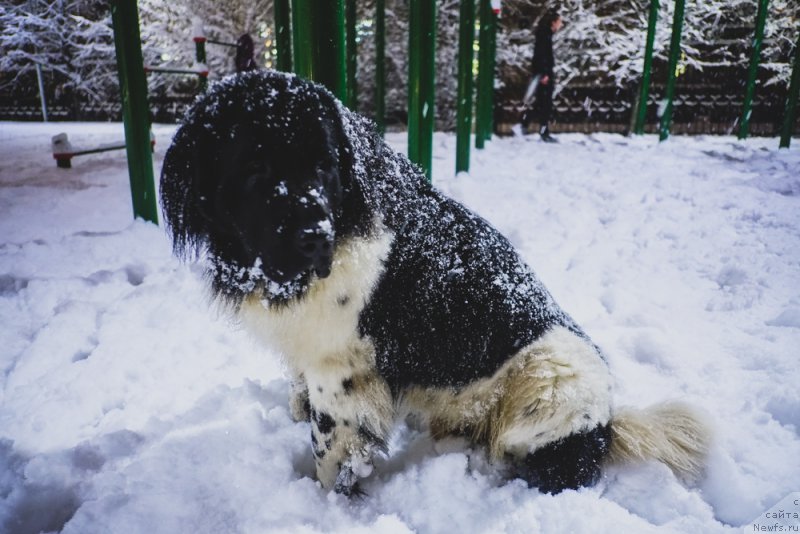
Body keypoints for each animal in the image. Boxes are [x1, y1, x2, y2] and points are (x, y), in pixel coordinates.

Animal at [159, 70, 708, 498]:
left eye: (325, 167)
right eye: (253, 169)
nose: (315, 238)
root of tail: (609, 423)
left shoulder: (342, 369)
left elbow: (331, 446)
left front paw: (329, 501)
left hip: (554, 376)